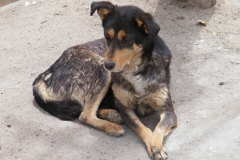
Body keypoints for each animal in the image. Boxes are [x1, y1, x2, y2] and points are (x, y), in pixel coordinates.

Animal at [32, 1, 177, 160]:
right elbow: (142, 127)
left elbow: (159, 127)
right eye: (107, 36)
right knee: (85, 114)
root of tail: (49, 70)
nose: (107, 64)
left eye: (127, 39)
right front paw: (153, 145)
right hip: (103, 74)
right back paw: (112, 126)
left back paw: (111, 115)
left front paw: (156, 145)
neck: (136, 69)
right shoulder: (126, 109)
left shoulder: (168, 110)